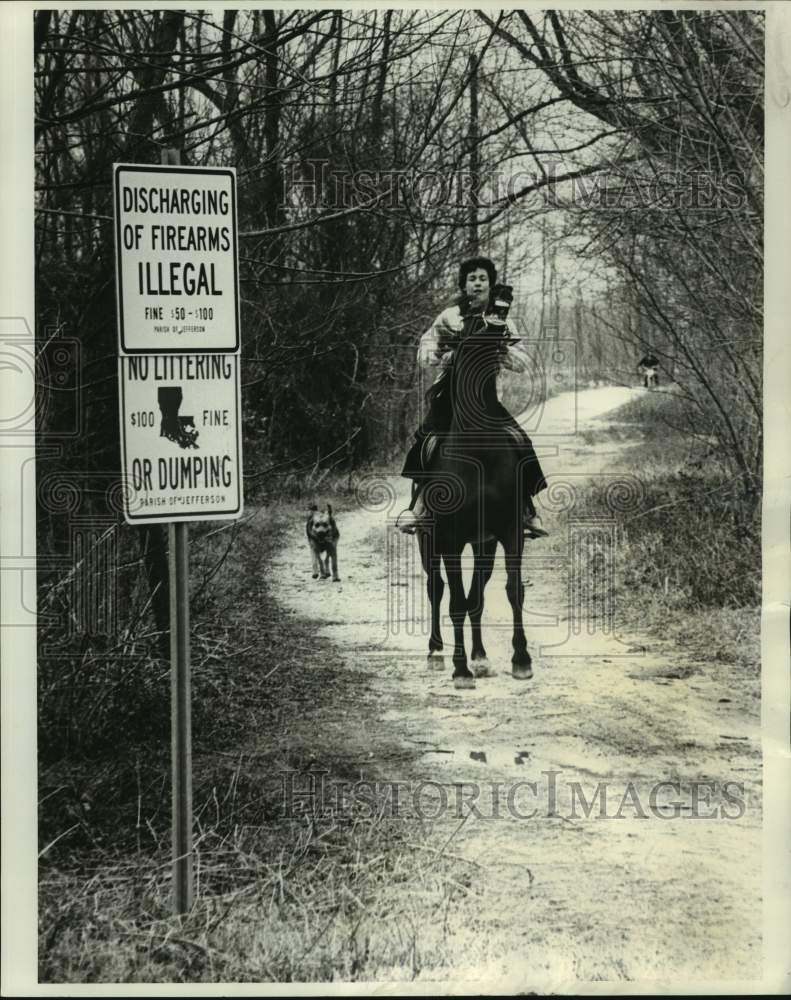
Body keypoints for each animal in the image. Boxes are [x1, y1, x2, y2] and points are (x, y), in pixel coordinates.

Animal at [414, 324, 532, 692]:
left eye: (500, 347)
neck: (479, 453)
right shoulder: (450, 539)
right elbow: (454, 602)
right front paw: (460, 669)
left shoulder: (509, 533)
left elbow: (511, 592)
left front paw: (521, 660)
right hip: (429, 542)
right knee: (437, 589)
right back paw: (436, 652)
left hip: (484, 545)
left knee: (475, 597)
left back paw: (480, 656)